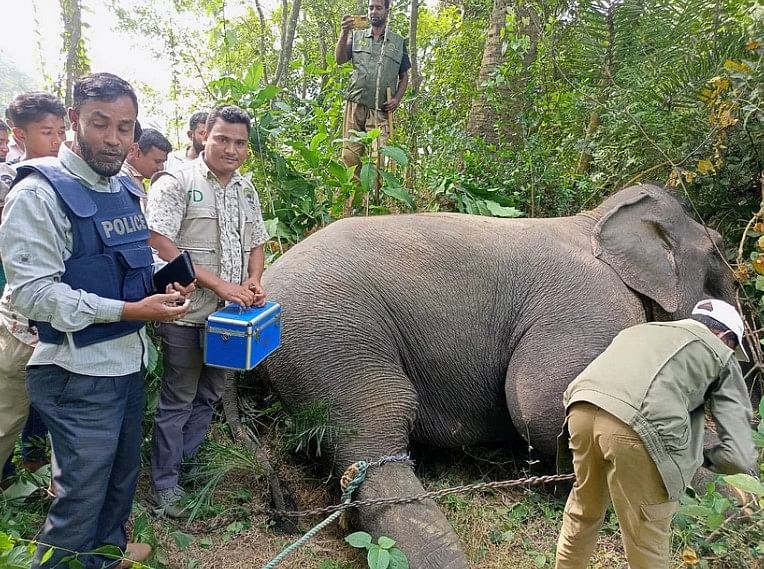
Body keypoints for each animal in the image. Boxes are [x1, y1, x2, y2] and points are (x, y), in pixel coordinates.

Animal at [260, 184, 736, 564]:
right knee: (374, 433)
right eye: (717, 256)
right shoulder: (597, 300)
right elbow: (540, 402)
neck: (594, 221)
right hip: (334, 333)